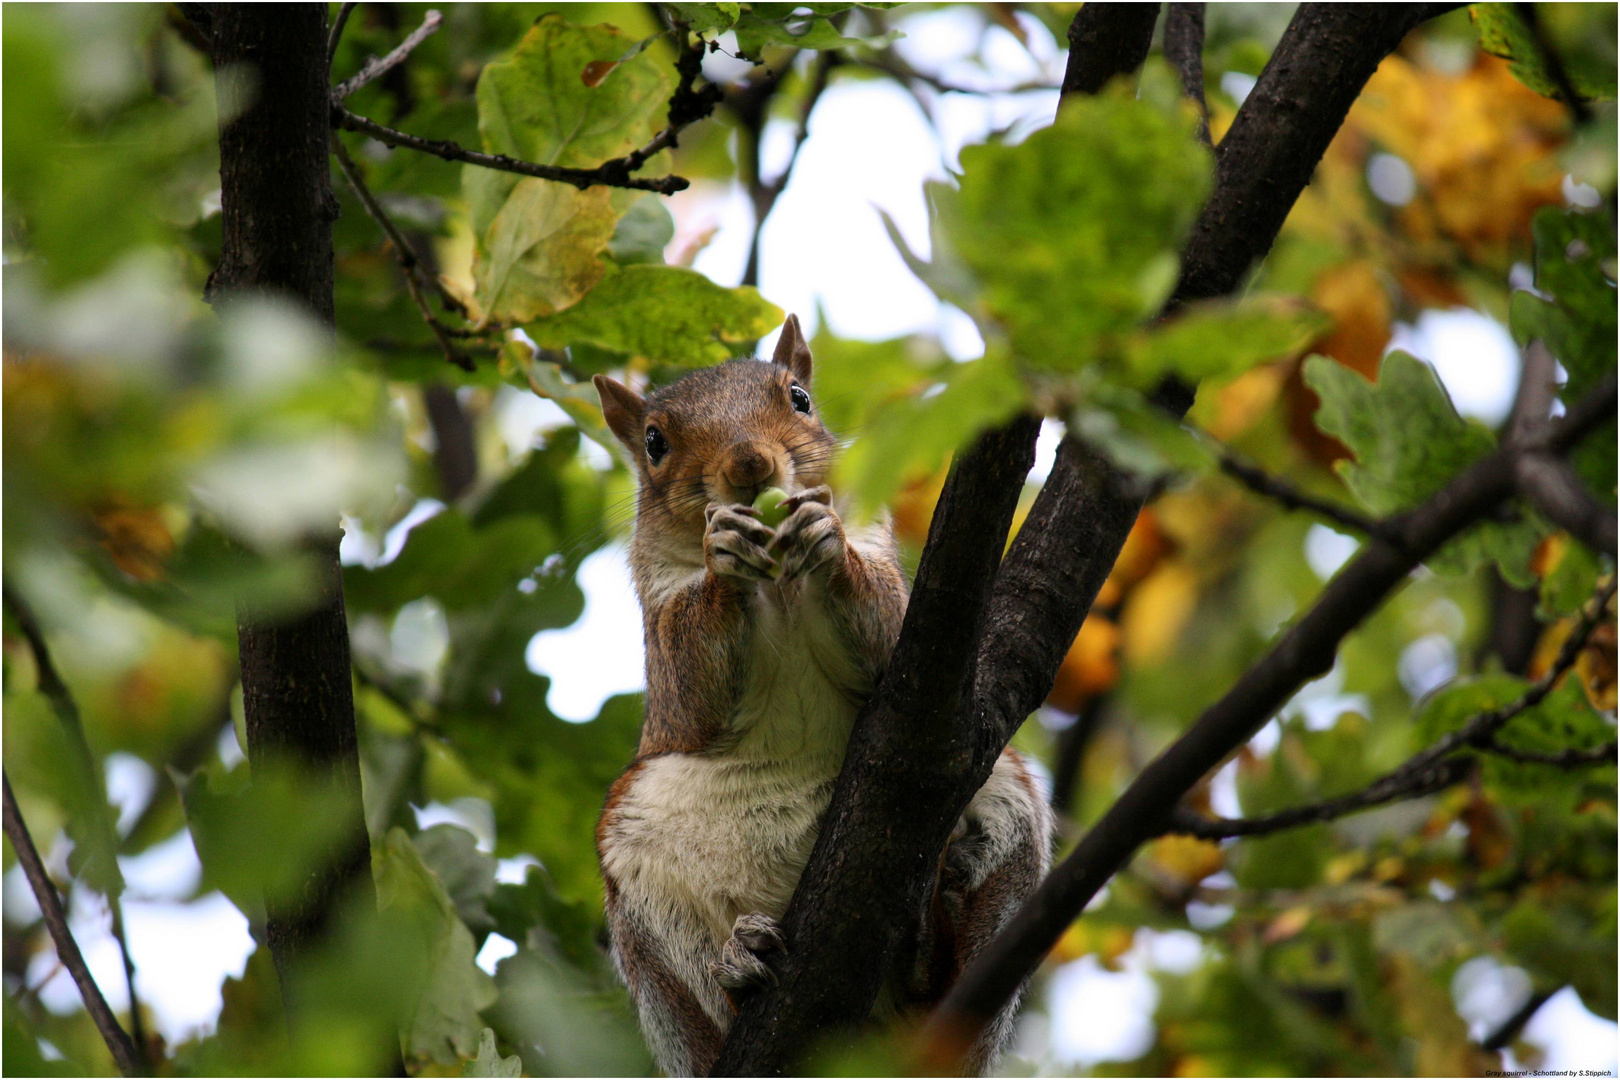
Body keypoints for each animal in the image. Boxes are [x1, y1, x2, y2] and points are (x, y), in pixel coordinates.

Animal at [592, 317, 1049, 1075]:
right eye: (655, 442)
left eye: (800, 398)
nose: (749, 464)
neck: (778, 581)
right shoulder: (663, 637)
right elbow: (691, 682)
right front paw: (723, 560)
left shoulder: (900, 599)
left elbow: (888, 624)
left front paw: (826, 544)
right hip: (641, 888)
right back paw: (737, 969)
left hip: (1008, 809)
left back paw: (925, 939)